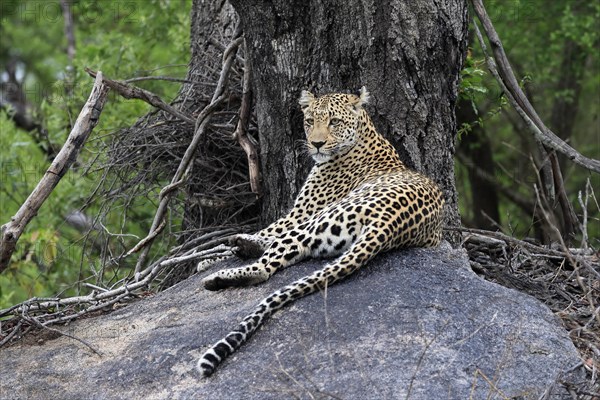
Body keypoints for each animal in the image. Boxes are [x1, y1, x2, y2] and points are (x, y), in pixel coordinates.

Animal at [197, 86, 446, 376]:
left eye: (334, 122)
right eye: (309, 121)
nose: (316, 144)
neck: (366, 134)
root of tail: (391, 222)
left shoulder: (300, 213)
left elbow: (268, 229)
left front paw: (208, 260)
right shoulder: (300, 215)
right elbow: (266, 232)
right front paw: (213, 255)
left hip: (319, 218)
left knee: (265, 267)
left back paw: (219, 275)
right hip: (328, 234)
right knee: (284, 250)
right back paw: (241, 246)